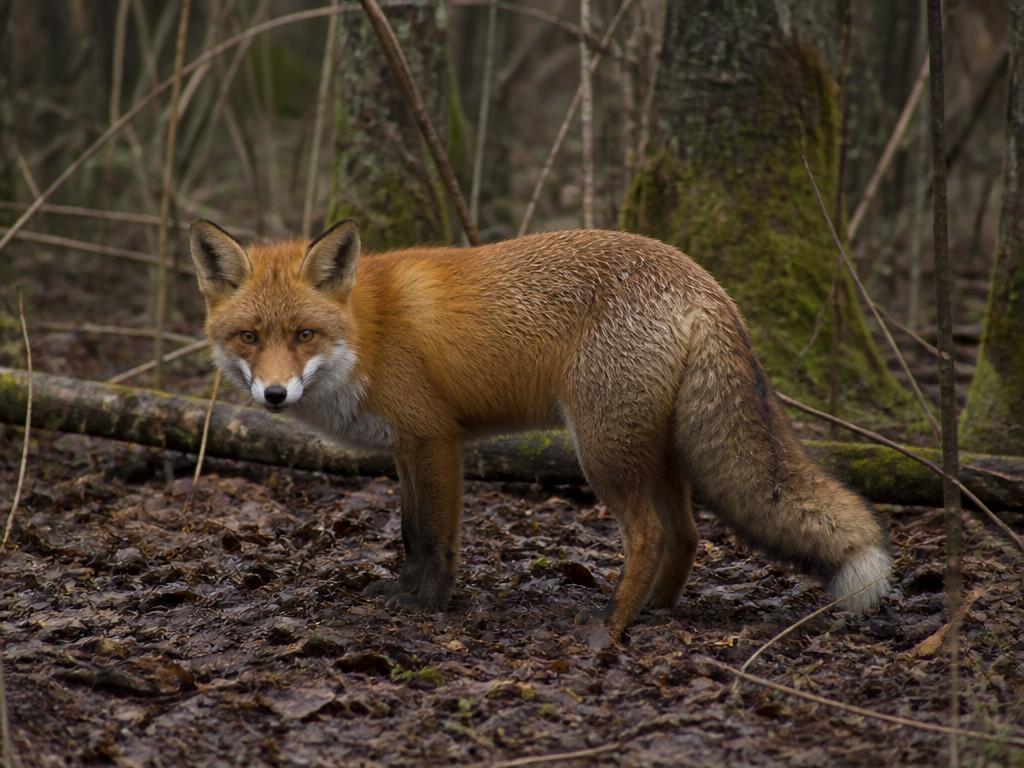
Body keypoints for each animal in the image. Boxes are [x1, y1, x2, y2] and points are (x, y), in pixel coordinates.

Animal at [188, 219, 892, 639]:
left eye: (304, 334)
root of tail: (705, 283)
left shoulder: (435, 440)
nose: (274, 393)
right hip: (654, 449)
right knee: (687, 535)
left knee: (648, 535)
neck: (369, 333)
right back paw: (658, 609)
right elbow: (410, 531)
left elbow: (435, 538)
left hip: (601, 451)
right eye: (249, 337)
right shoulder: (405, 449)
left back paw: (612, 625)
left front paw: (429, 606)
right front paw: (404, 591)